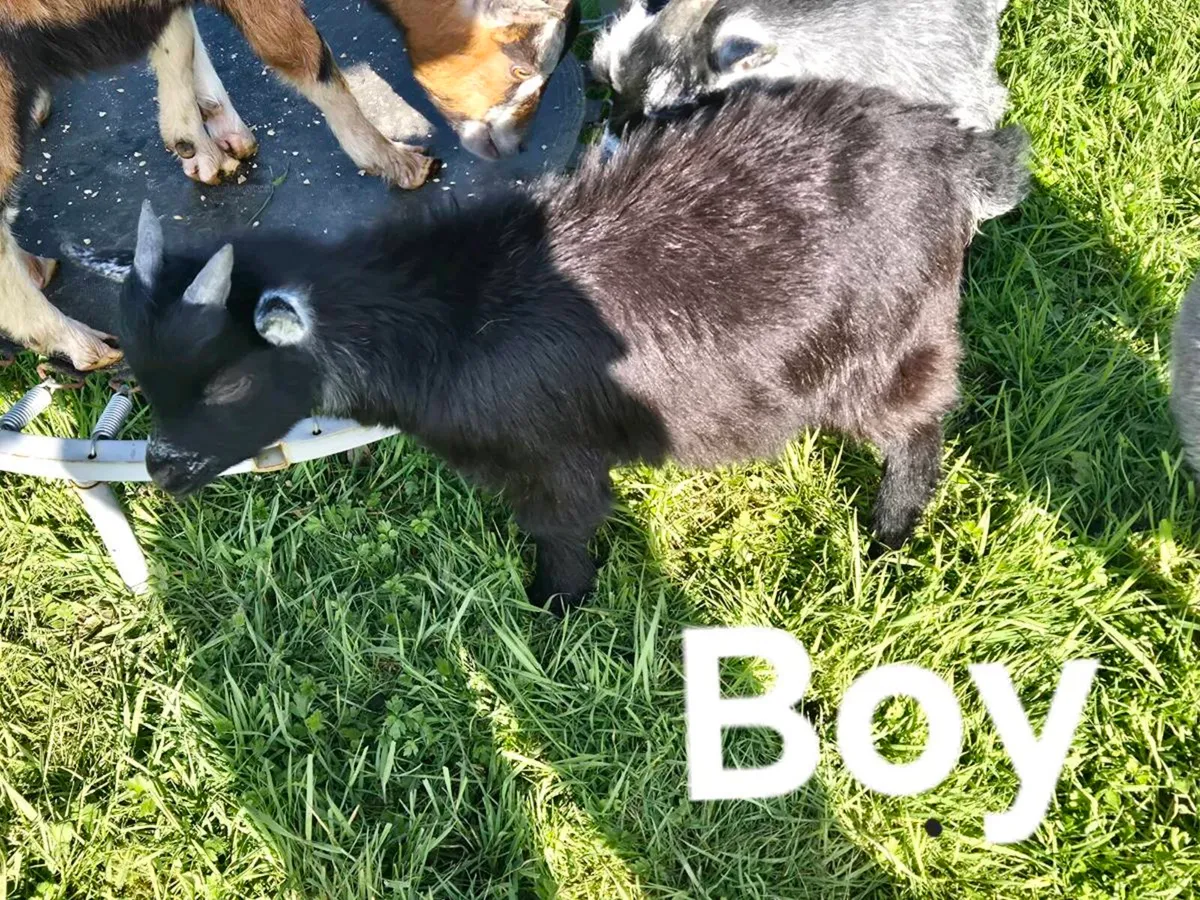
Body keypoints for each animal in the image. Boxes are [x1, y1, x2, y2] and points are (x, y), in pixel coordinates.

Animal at [0, 0, 575, 371]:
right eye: (517, 67)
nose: (515, 146)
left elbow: (178, 37)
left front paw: (204, 140)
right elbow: (308, 56)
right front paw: (394, 161)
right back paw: (75, 339)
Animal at [73, 78, 1030, 614]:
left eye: (228, 385)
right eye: (145, 380)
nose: (159, 469)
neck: (445, 319)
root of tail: (955, 153)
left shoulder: (548, 454)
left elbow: (565, 526)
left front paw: (554, 609)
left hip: (888, 339)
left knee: (918, 420)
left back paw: (891, 532)